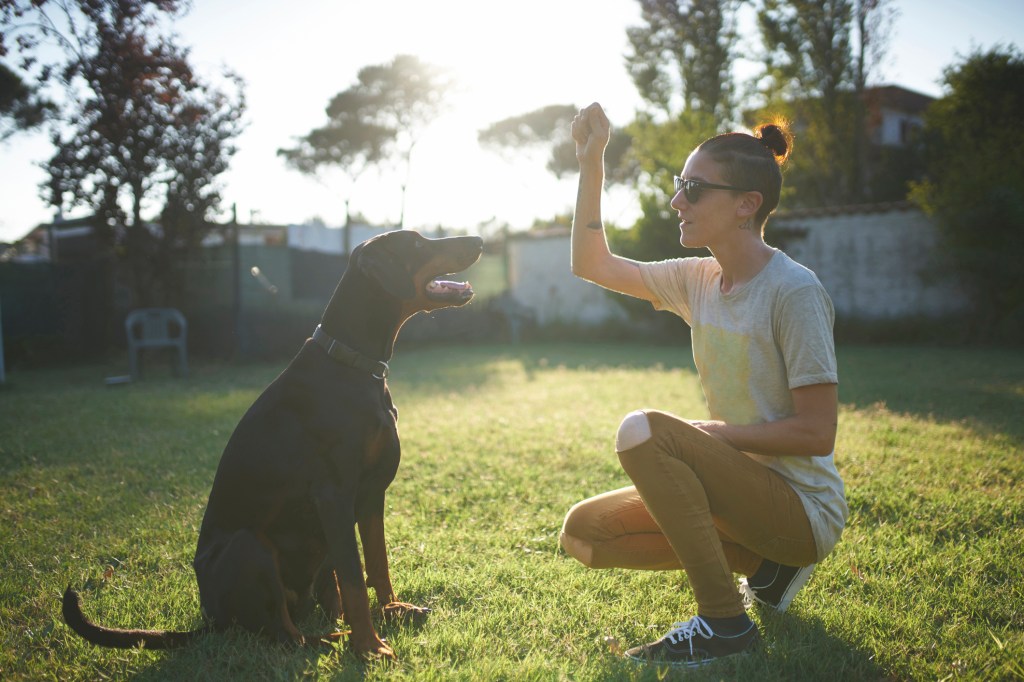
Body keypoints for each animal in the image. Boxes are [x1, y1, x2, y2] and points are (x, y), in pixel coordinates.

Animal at [61, 229, 485, 659]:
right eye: (416, 244)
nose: (479, 240)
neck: (352, 363)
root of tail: (211, 619)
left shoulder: (371, 495)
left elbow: (377, 563)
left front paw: (393, 610)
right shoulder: (333, 495)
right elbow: (354, 576)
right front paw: (370, 647)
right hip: (250, 546)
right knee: (286, 637)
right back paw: (336, 640)